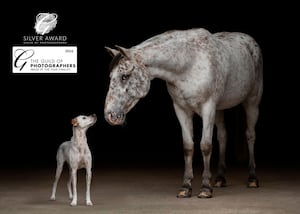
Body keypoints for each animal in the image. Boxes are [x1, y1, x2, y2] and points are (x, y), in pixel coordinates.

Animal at [103, 27, 262, 198]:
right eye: (111, 77)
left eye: (124, 76)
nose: (110, 115)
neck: (189, 63)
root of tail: (250, 41)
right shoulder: (181, 109)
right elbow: (188, 146)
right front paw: (186, 187)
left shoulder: (208, 108)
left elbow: (206, 145)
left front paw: (205, 188)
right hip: (219, 109)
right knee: (223, 136)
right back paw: (220, 178)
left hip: (251, 103)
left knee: (250, 135)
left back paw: (252, 178)